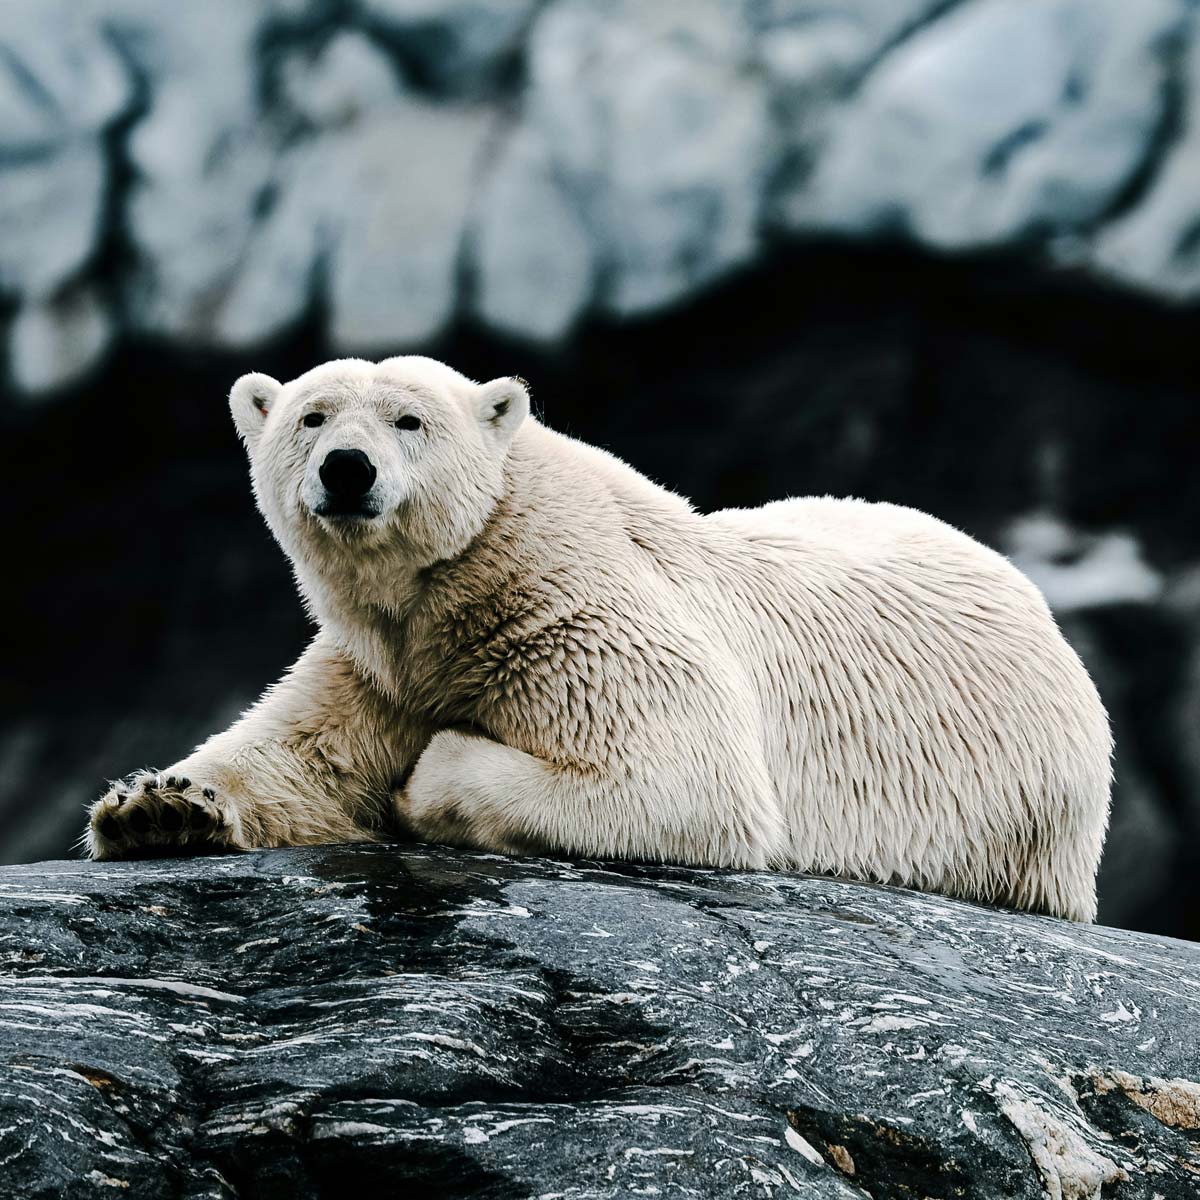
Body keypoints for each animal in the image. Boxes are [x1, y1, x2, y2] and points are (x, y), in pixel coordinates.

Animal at [87, 355, 1113, 916]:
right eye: (312, 415)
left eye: (408, 419)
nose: (347, 469)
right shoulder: (378, 661)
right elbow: (300, 756)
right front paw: (159, 809)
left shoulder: (578, 618)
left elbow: (684, 782)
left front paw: (426, 778)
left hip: (1016, 813)